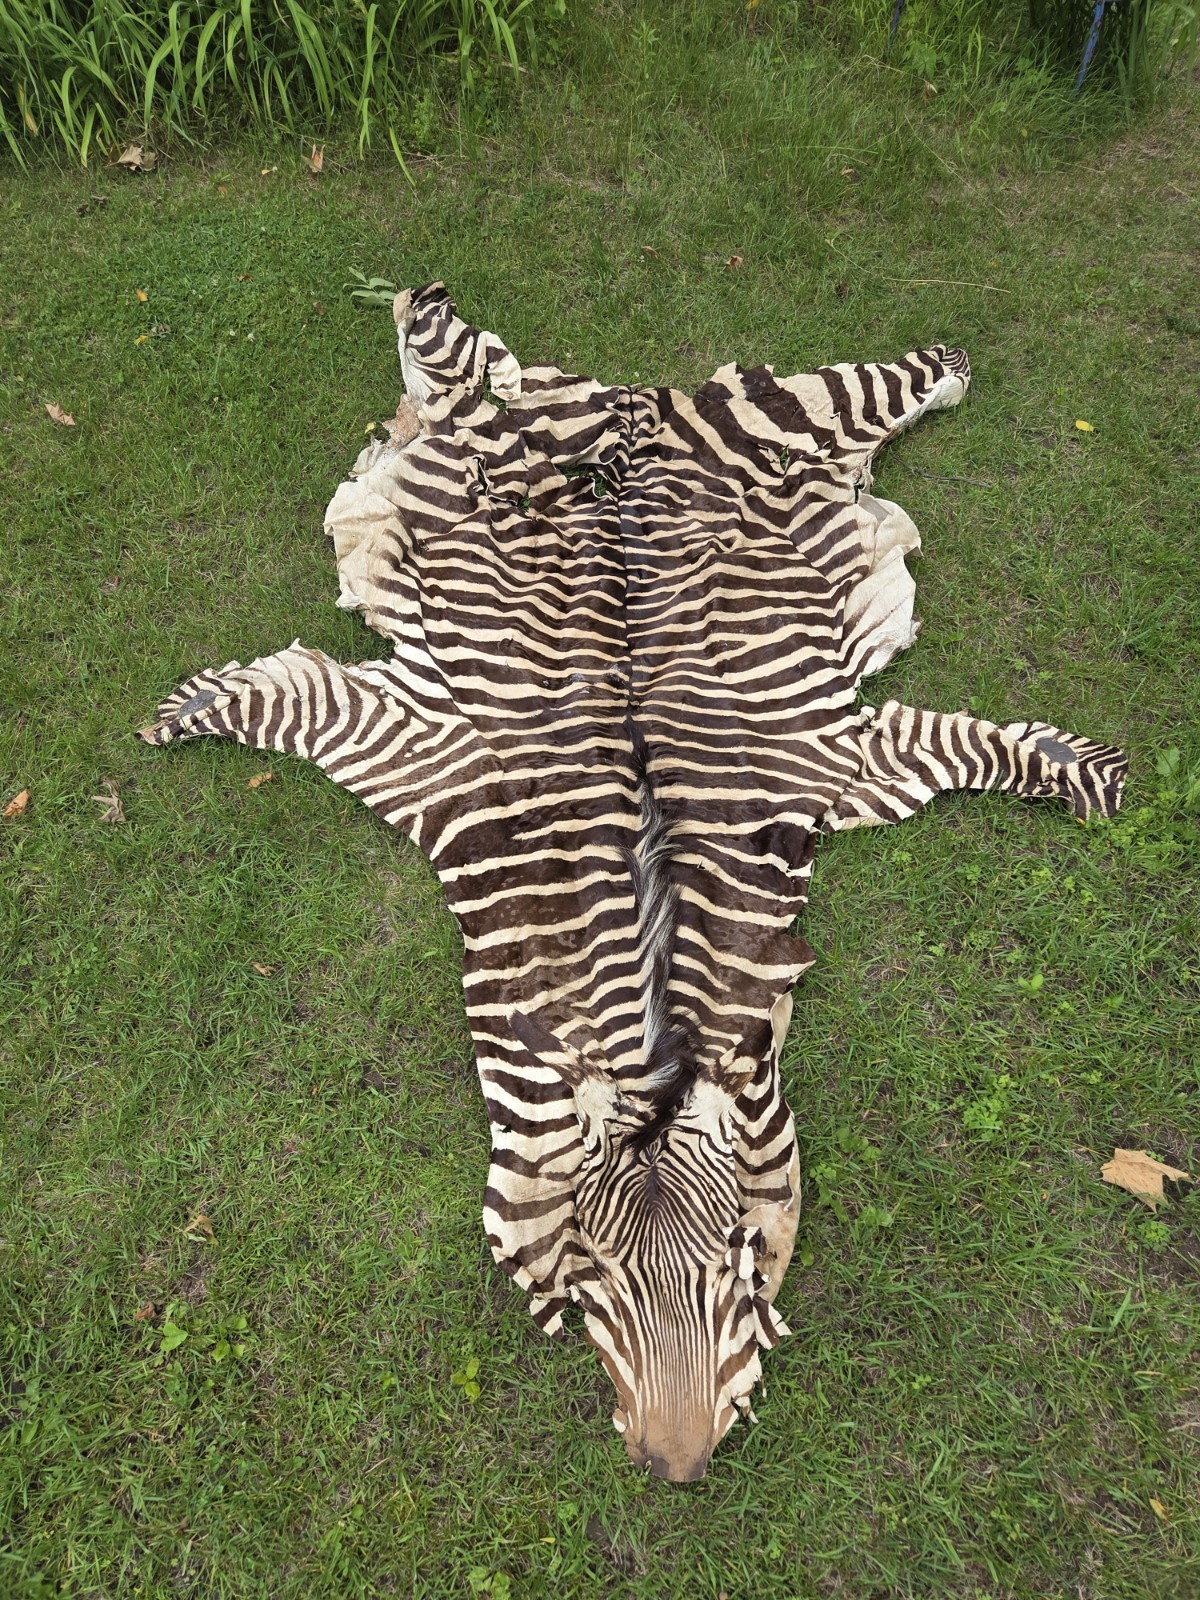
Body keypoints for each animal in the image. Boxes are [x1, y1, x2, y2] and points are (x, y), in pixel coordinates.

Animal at [139, 283, 1127, 1481]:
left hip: (792, 419)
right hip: (569, 427)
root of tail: (624, 424)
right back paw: (441, 354)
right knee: (459, 375)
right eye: (597, 1279)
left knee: (891, 373)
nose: (676, 1469)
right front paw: (187, 708)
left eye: (731, 1264)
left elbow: (981, 750)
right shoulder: (432, 760)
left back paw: (944, 373)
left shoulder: (838, 761)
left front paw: (1094, 778)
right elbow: (290, 701)